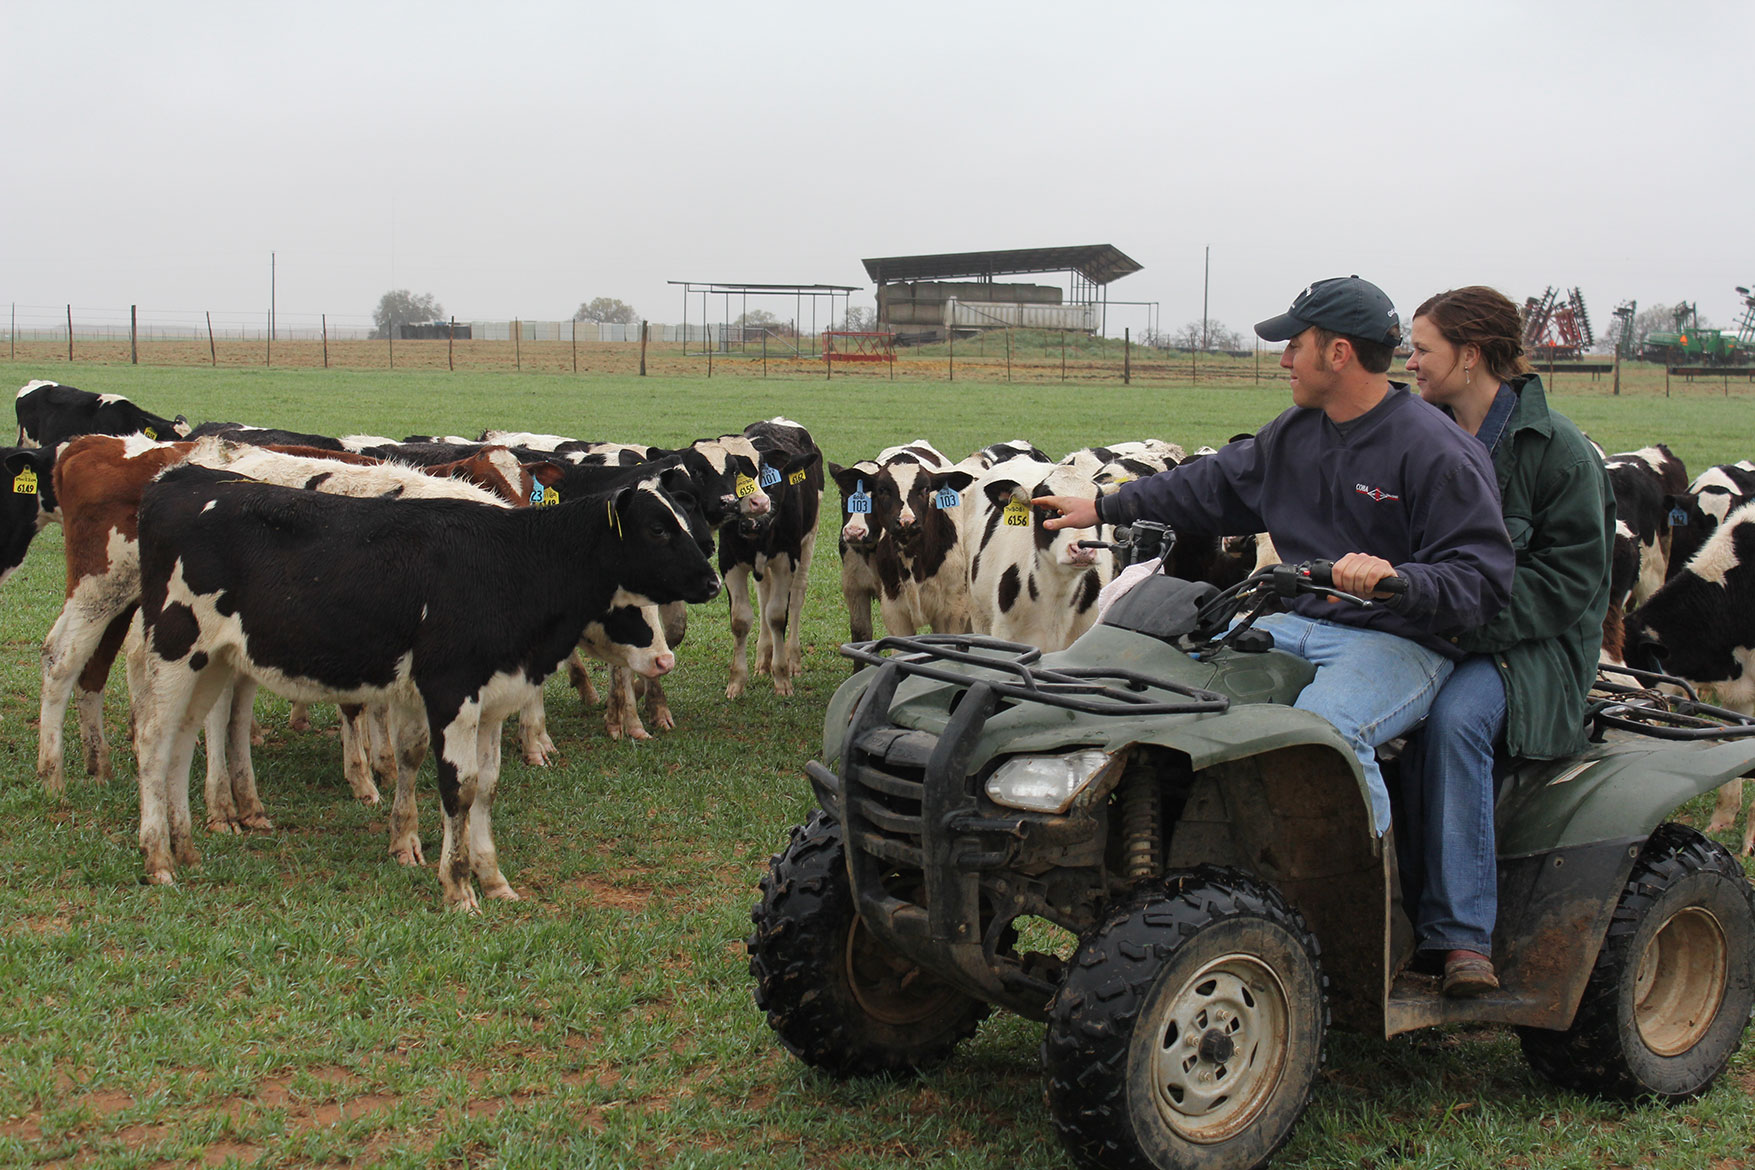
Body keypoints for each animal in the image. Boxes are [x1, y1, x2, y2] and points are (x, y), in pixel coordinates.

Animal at [128, 463, 719, 912]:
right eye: (659, 529)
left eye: (685, 518)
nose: (713, 581)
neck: (511, 563)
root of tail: (181, 479)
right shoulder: (450, 692)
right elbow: (458, 788)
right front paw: (458, 888)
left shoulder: (492, 700)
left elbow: (486, 786)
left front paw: (492, 879)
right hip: (176, 650)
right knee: (153, 744)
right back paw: (158, 858)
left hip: (215, 663)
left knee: (182, 745)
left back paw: (187, 847)